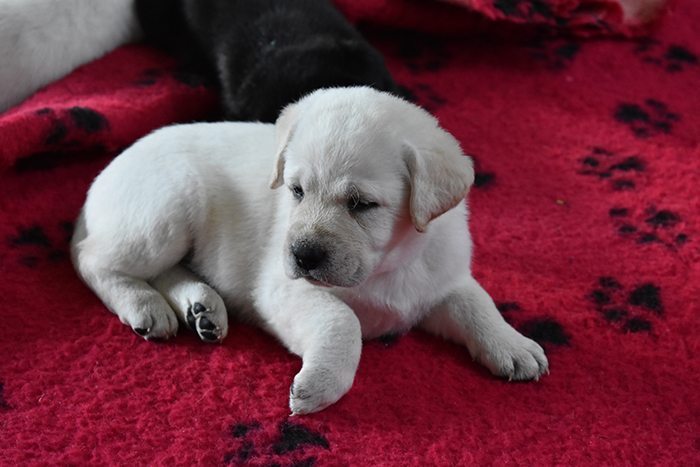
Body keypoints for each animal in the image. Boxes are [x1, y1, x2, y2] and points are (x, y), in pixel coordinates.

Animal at [72, 87, 552, 414]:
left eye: (361, 204)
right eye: (296, 190)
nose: (302, 255)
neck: (388, 265)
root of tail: (99, 180)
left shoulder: (441, 277)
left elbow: (476, 302)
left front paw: (513, 345)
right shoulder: (284, 289)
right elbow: (343, 321)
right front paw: (320, 384)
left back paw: (202, 308)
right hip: (166, 212)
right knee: (93, 260)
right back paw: (145, 305)